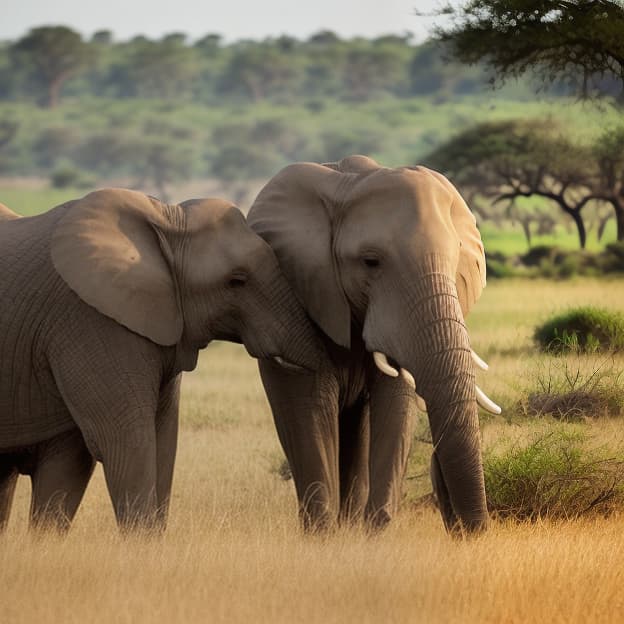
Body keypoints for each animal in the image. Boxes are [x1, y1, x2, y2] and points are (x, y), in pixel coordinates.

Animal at [0, 186, 320, 532]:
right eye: (237, 280)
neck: (168, 219)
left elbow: (164, 438)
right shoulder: (90, 320)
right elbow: (125, 440)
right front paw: (141, 542)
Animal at [246, 154, 500, 532]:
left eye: (456, 255)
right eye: (371, 262)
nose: (469, 531)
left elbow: (394, 405)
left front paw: (372, 535)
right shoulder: (303, 291)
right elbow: (311, 405)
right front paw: (322, 537)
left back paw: (350, 524)